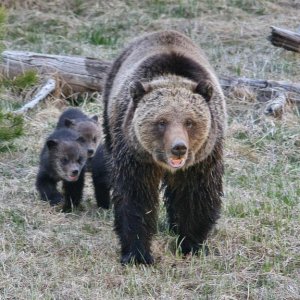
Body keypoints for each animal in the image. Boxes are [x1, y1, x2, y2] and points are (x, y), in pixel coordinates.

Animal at [103, 30, 227, 264]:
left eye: (189, 122)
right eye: (161, 122)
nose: (179, 147)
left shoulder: (201, 160)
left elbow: (196, 196)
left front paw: (190, 245)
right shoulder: (135, 155)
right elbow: (135, 198)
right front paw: (137, 254)